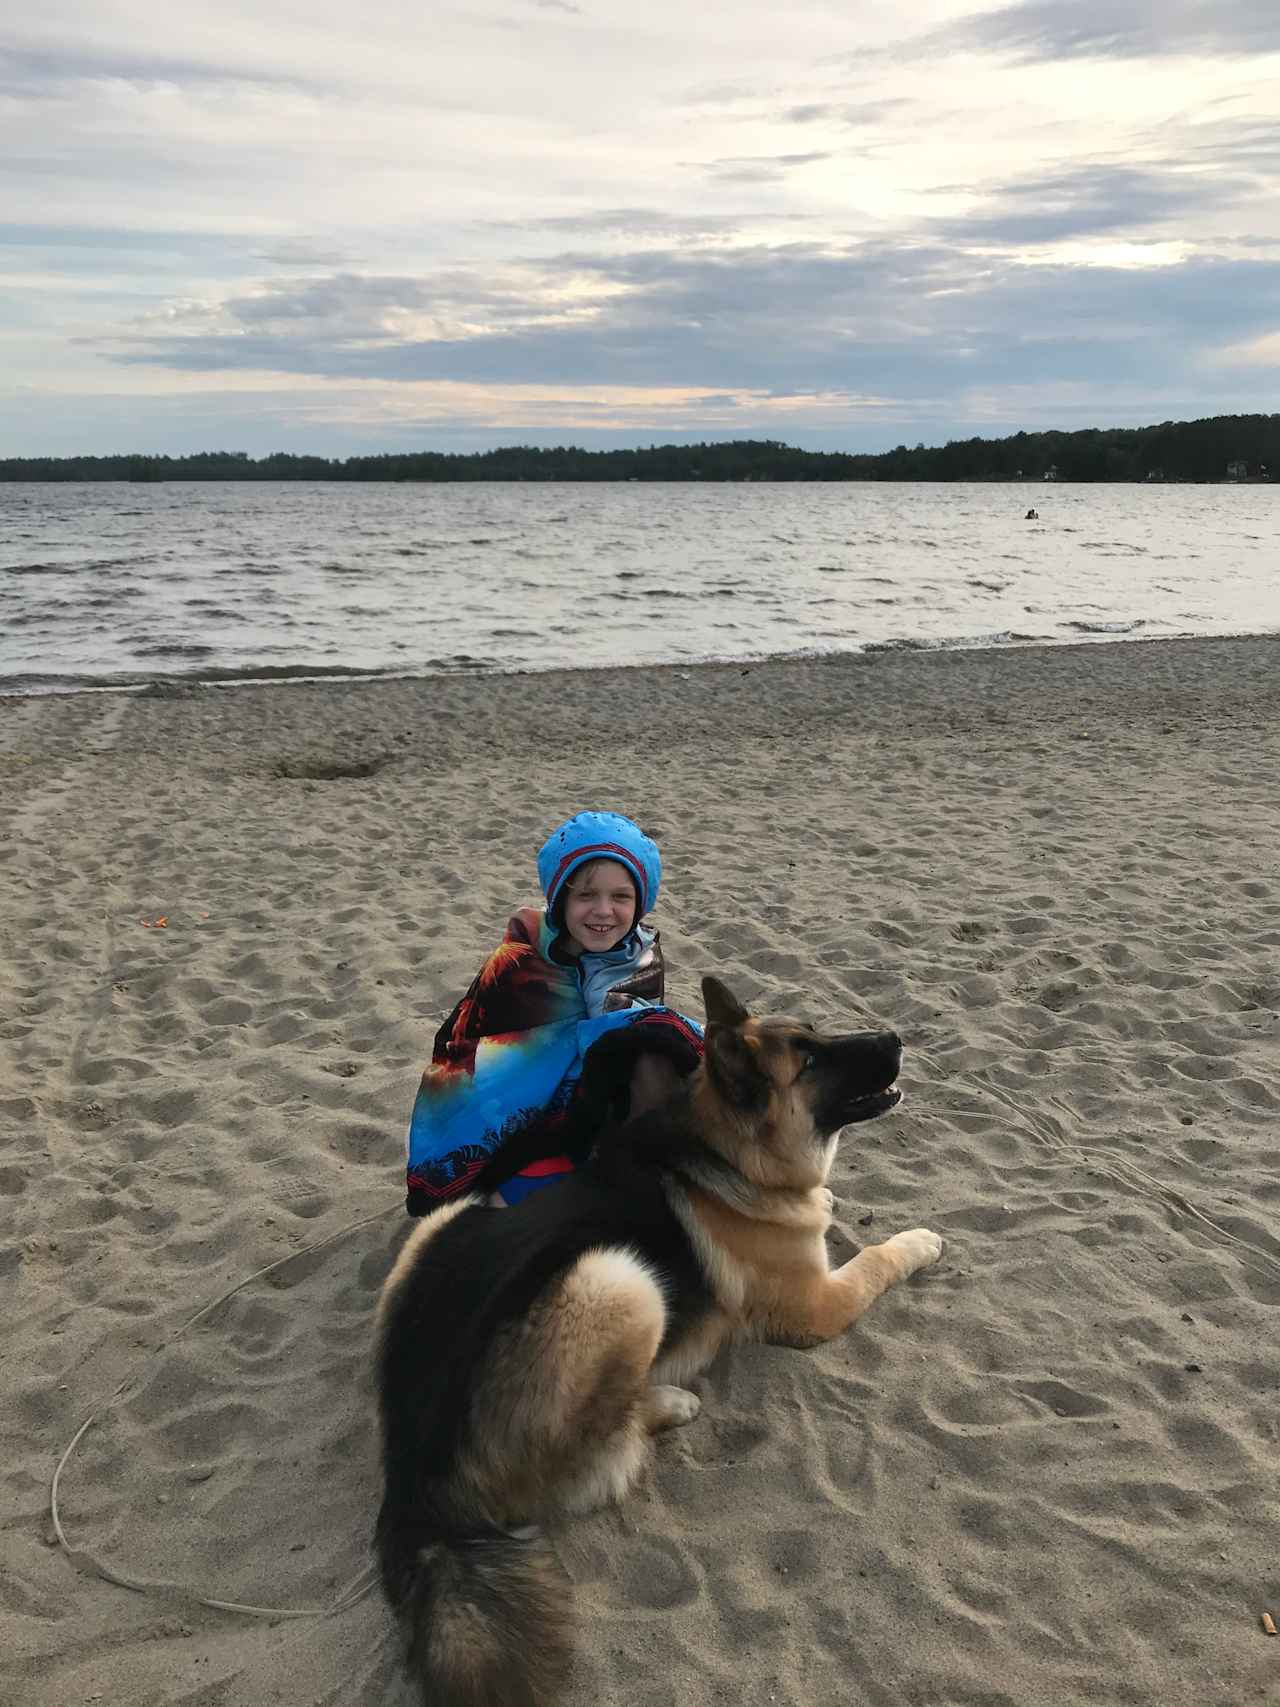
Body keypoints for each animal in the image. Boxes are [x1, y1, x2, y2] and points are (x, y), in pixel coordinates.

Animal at [370, 976, 942, 1707]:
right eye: (809, 1059)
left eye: (818, 1033)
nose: (895, 1037)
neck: (724, 1150)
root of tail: (416, 1485)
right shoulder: (818, 1305)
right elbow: (877, 1256)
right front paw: (920, 1241)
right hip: (620, 1281)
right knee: (602, 1453)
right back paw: (669, 1403)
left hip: (456, 1218)